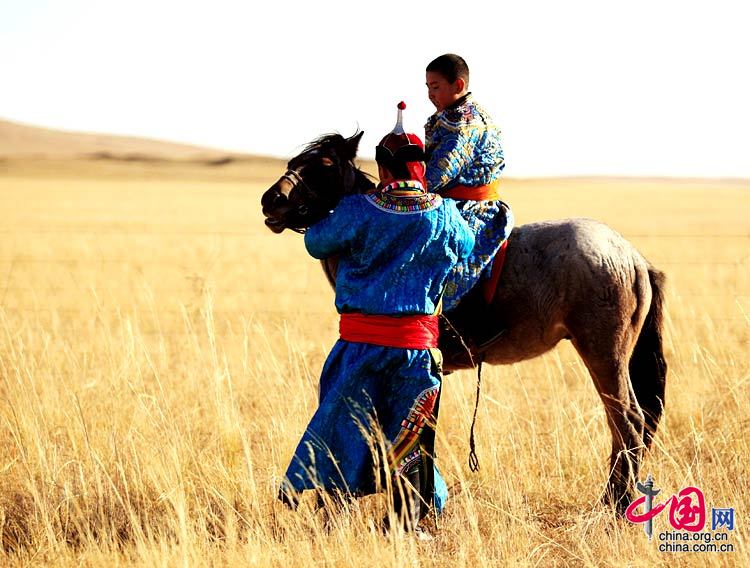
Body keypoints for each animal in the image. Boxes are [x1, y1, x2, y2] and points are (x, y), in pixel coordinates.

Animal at [262, 133, 668, 516]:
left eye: (325, 165)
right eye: (293, 162)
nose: (271, 200)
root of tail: (632, 257)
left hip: (604, 353)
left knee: (628, 421)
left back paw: (616, 502)